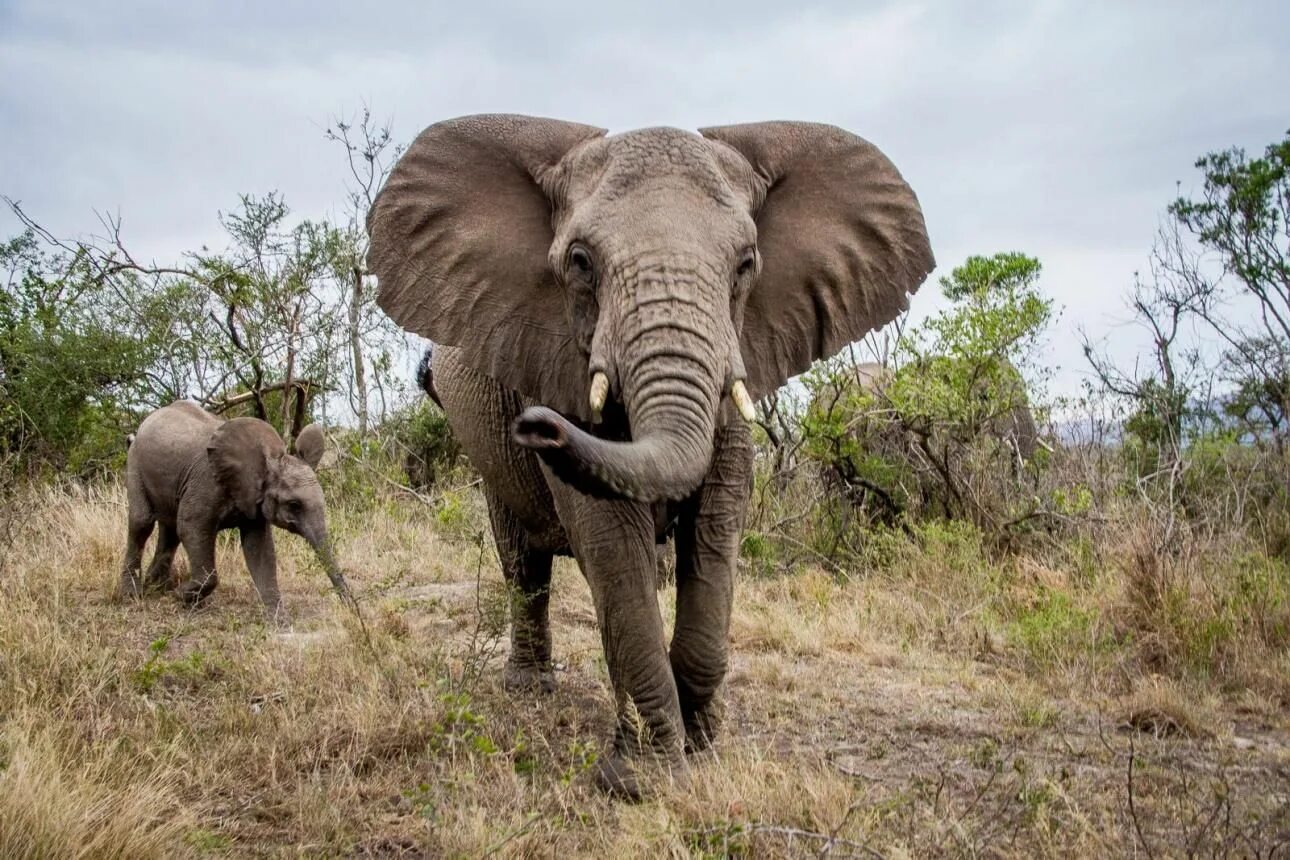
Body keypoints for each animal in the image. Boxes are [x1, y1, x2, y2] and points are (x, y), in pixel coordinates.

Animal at [119, 399, 350, 621]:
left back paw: (156, 588)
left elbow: (259, 548)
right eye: (294, 504)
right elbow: (191, 528)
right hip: (135, 463)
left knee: (170, 530)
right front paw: (180, 596)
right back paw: (133, 595)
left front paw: (280, 622)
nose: (351, 608)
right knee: (142, 522)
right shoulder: (206, 485)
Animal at [368, 114, 933, 799]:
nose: (538, 426)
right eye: (580, 263)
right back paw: (530, 691)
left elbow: (717, 527)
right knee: (521, 558)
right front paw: (642, 782)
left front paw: (704, 745)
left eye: (746, 265)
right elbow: (611, 541)